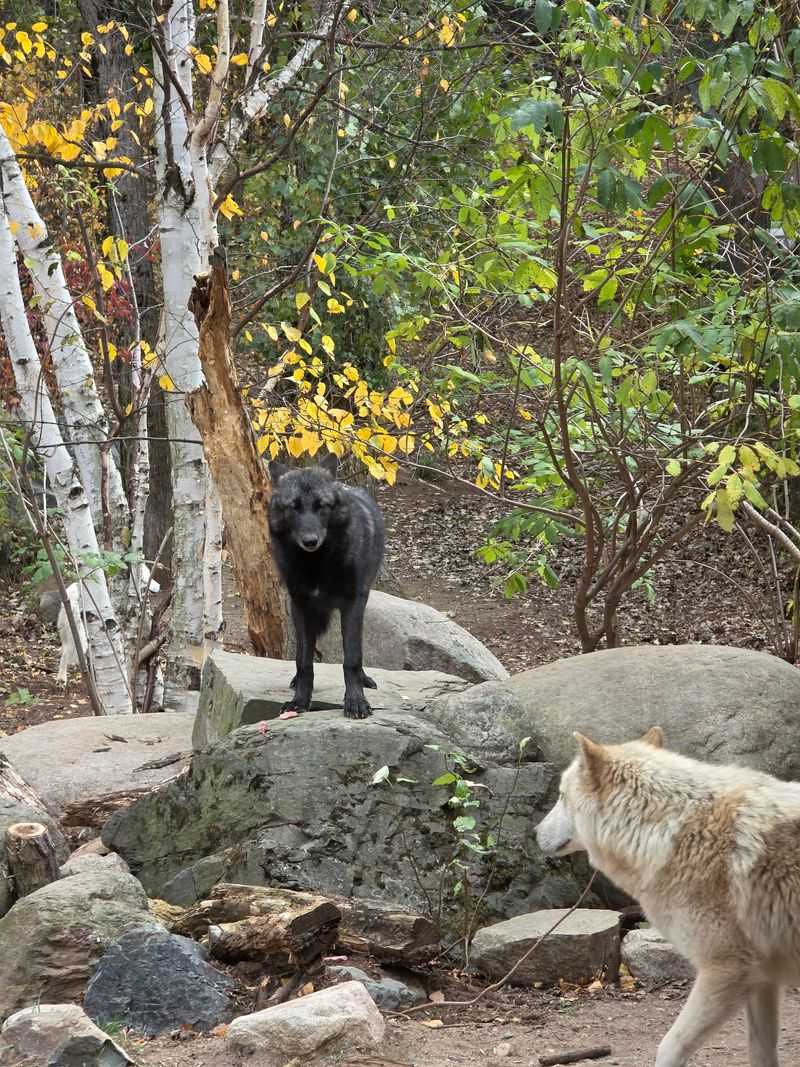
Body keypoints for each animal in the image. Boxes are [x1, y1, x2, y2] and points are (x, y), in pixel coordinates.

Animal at [268, 453, 385, 719]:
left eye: (321, 505)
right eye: (294, 507)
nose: (310, 541)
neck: (317, 564)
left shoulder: (352, 604)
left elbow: (351, 658)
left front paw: (356, 702)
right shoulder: (300, 606)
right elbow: (303, 662)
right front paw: (299, 701)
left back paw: (364, 680)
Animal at [536, 727, 800, 1067]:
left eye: (561, 796)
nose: (534, 832)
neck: (667, 831)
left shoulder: (725, 970)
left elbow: (668, 1046)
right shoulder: (762, 979)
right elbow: (761, 1051)